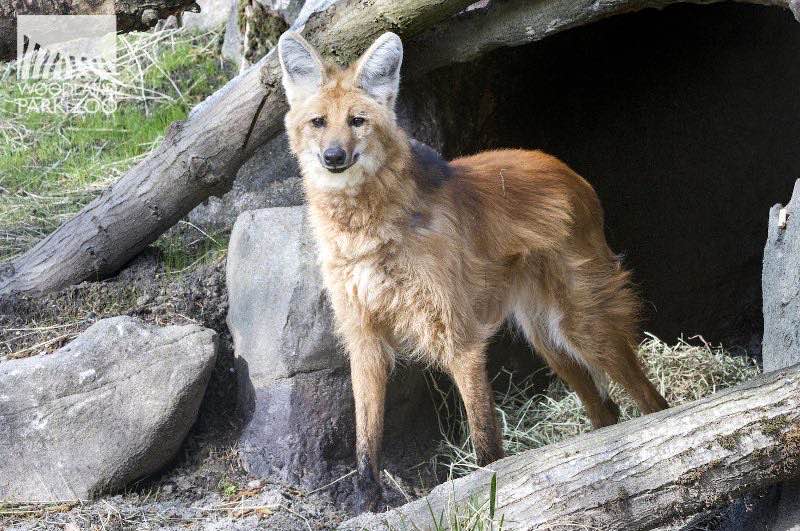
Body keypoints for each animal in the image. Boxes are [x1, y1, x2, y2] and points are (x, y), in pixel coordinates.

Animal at [277, 30, 669, 511]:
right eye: (318, 122)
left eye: (357, 121)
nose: (333, 156)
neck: (365, 233)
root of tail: (570, 173)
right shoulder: (364, 336)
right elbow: (366, 440)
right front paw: (366, 506)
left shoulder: (458, 336)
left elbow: (483, 435)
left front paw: (484, 492)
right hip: (547, 339)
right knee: (605, 410)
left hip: (582, 324)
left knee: (650, 400)